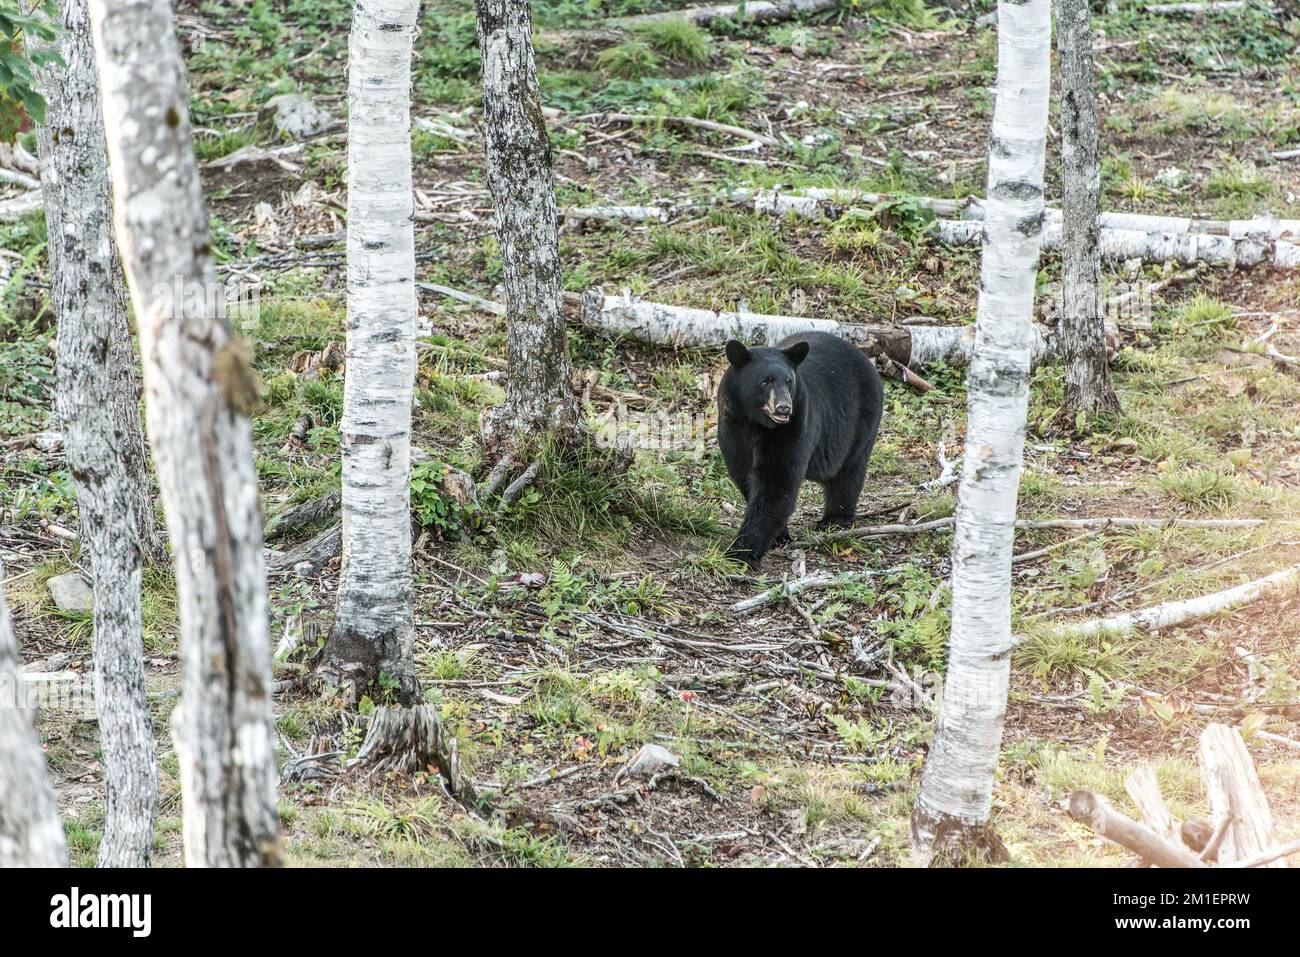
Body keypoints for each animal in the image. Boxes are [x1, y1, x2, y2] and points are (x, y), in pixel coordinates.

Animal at [716, 332, 884, 569]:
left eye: (789, 381)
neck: (755, 423)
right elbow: (744, 475)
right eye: (765, 381)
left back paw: (835, 519)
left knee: (848, 473)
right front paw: (778, 536)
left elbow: (777, 481)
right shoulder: (732, 427)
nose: (784, 408)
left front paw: (741, 552)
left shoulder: (793, 426)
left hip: (860, 422)